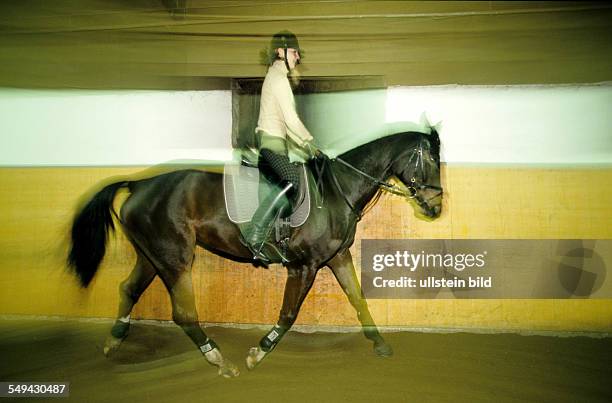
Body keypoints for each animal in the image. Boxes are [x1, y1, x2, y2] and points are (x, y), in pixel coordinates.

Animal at [67, 129, 442, 378]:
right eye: (431, 160)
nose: (437, 207)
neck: (336, 193)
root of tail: (140, 184)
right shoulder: (304, 266)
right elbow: (288, 314)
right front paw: (258, 353)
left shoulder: (337, 257)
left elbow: (358, 299)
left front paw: (379, 344)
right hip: (175, 258)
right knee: (183, 314)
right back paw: (221, 361)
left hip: (153, 255)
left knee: (129, 289)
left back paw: (113, 342)